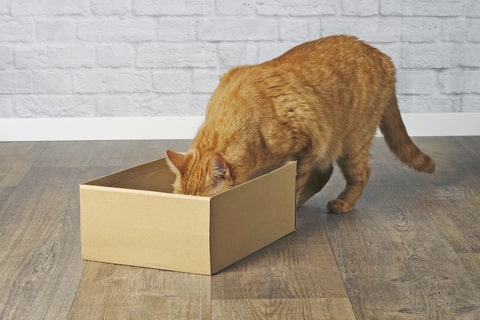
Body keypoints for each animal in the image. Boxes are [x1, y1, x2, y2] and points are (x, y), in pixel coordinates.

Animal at [166, 35, 436, 212]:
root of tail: (382, 55)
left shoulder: (306, 148)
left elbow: (294, 184)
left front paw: (288, 208)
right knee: (326, 172)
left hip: (352, 142)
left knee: (359, 174)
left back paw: (340, 203)